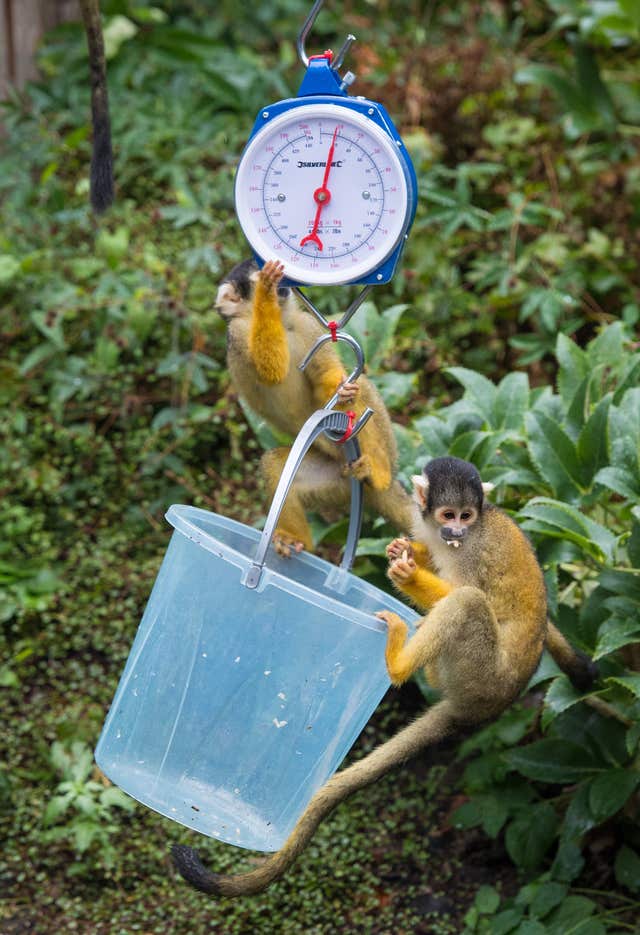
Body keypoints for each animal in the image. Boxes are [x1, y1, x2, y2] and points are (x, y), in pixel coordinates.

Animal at [172, 458, 596, 896]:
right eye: (449, 515)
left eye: (467, 517)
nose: (456, 532)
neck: (464, 534)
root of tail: (484, 708)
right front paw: (408, 550)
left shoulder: (474, 552)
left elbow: (469, 592)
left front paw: (407, 574)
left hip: (481, 673)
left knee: (468, 602)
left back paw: (398, 663)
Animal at [215, 260, 416, 556]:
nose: (283, 288)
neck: (283, 322)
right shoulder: (237, 332)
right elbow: (271, 370)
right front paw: (265, 291)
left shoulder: (307, 324)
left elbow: (326, 381)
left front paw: (342, 390)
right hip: (338, 481)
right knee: (274, 463)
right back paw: (296, 540)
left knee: (361, 388)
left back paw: (378, 470)